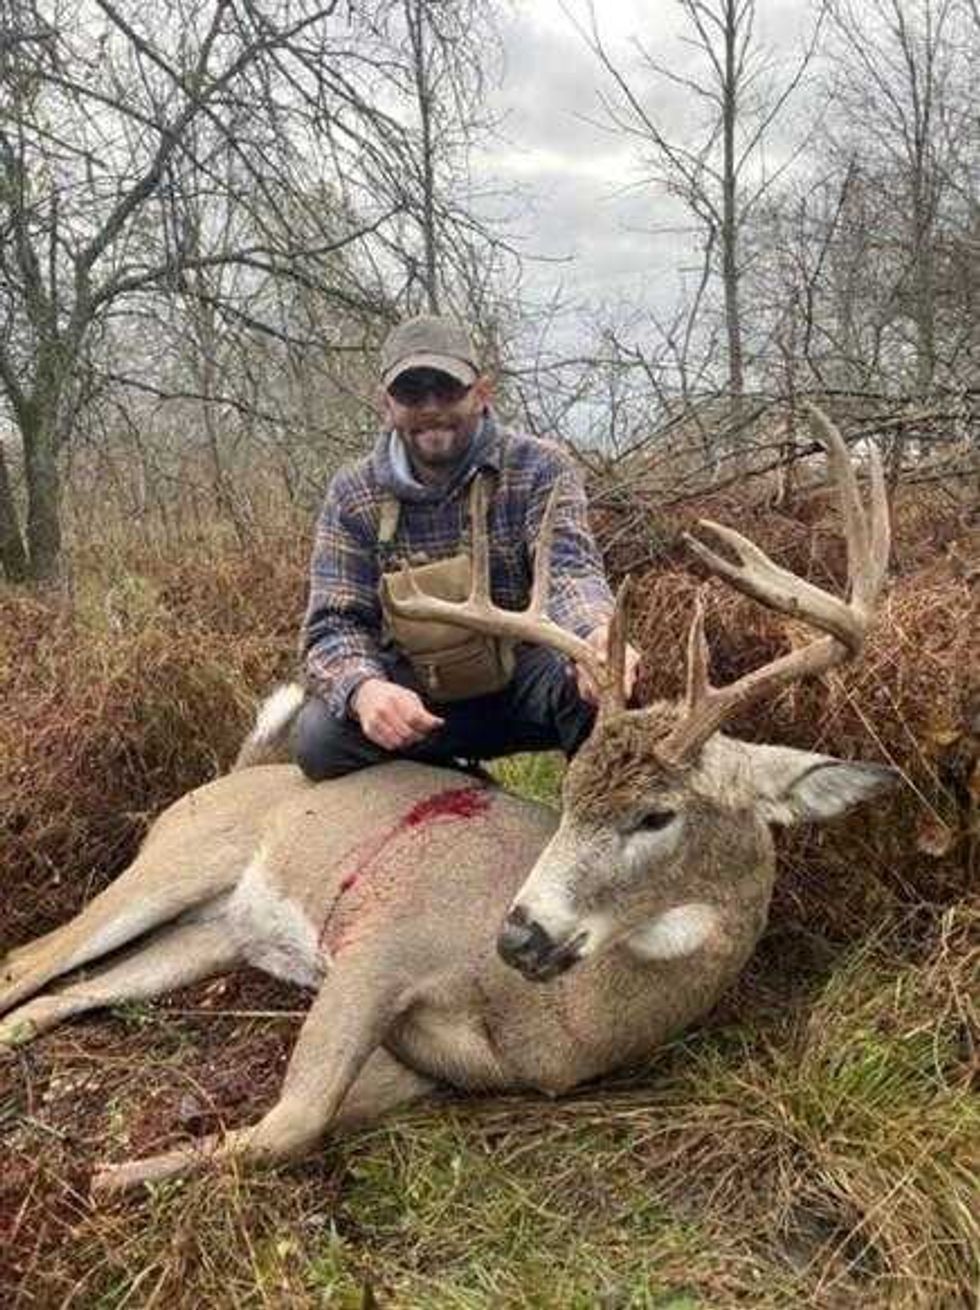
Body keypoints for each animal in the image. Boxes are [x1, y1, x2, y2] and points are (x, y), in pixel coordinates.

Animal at [0, 405, 896, 1199]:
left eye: (655, 815)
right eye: (570, 794)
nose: (519, 933)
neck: (561, 1024)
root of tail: (239, 772)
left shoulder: (425, 1068)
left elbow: (302, 1122)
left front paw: (117, 1172)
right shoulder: (380, 946)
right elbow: (292, 1124)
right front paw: (105, 1177)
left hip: (215, 934)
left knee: (66, 993)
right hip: (177, 860)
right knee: (30, 958)